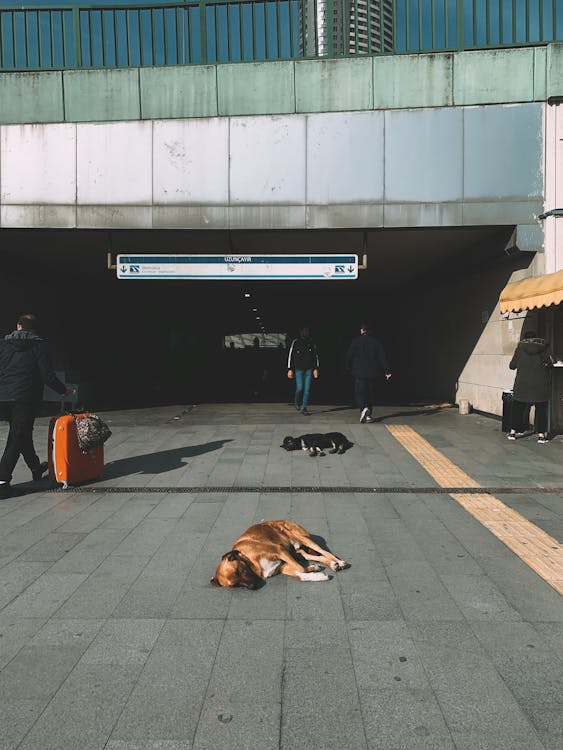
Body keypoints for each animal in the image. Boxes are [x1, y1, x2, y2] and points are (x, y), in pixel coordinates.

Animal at [210, 520, 348, 592]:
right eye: (235, 585)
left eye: (239, 570)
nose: (252, 587)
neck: (249, 559)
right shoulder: (282, 566)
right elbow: (300, 574)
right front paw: (317, 573)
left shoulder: (280, 550)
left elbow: (301, 569)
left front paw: (314, 570)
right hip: (296, 553)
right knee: (311, 556)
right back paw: (331, 564)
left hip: (300, 538)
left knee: (324, 551)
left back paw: (339, 562)